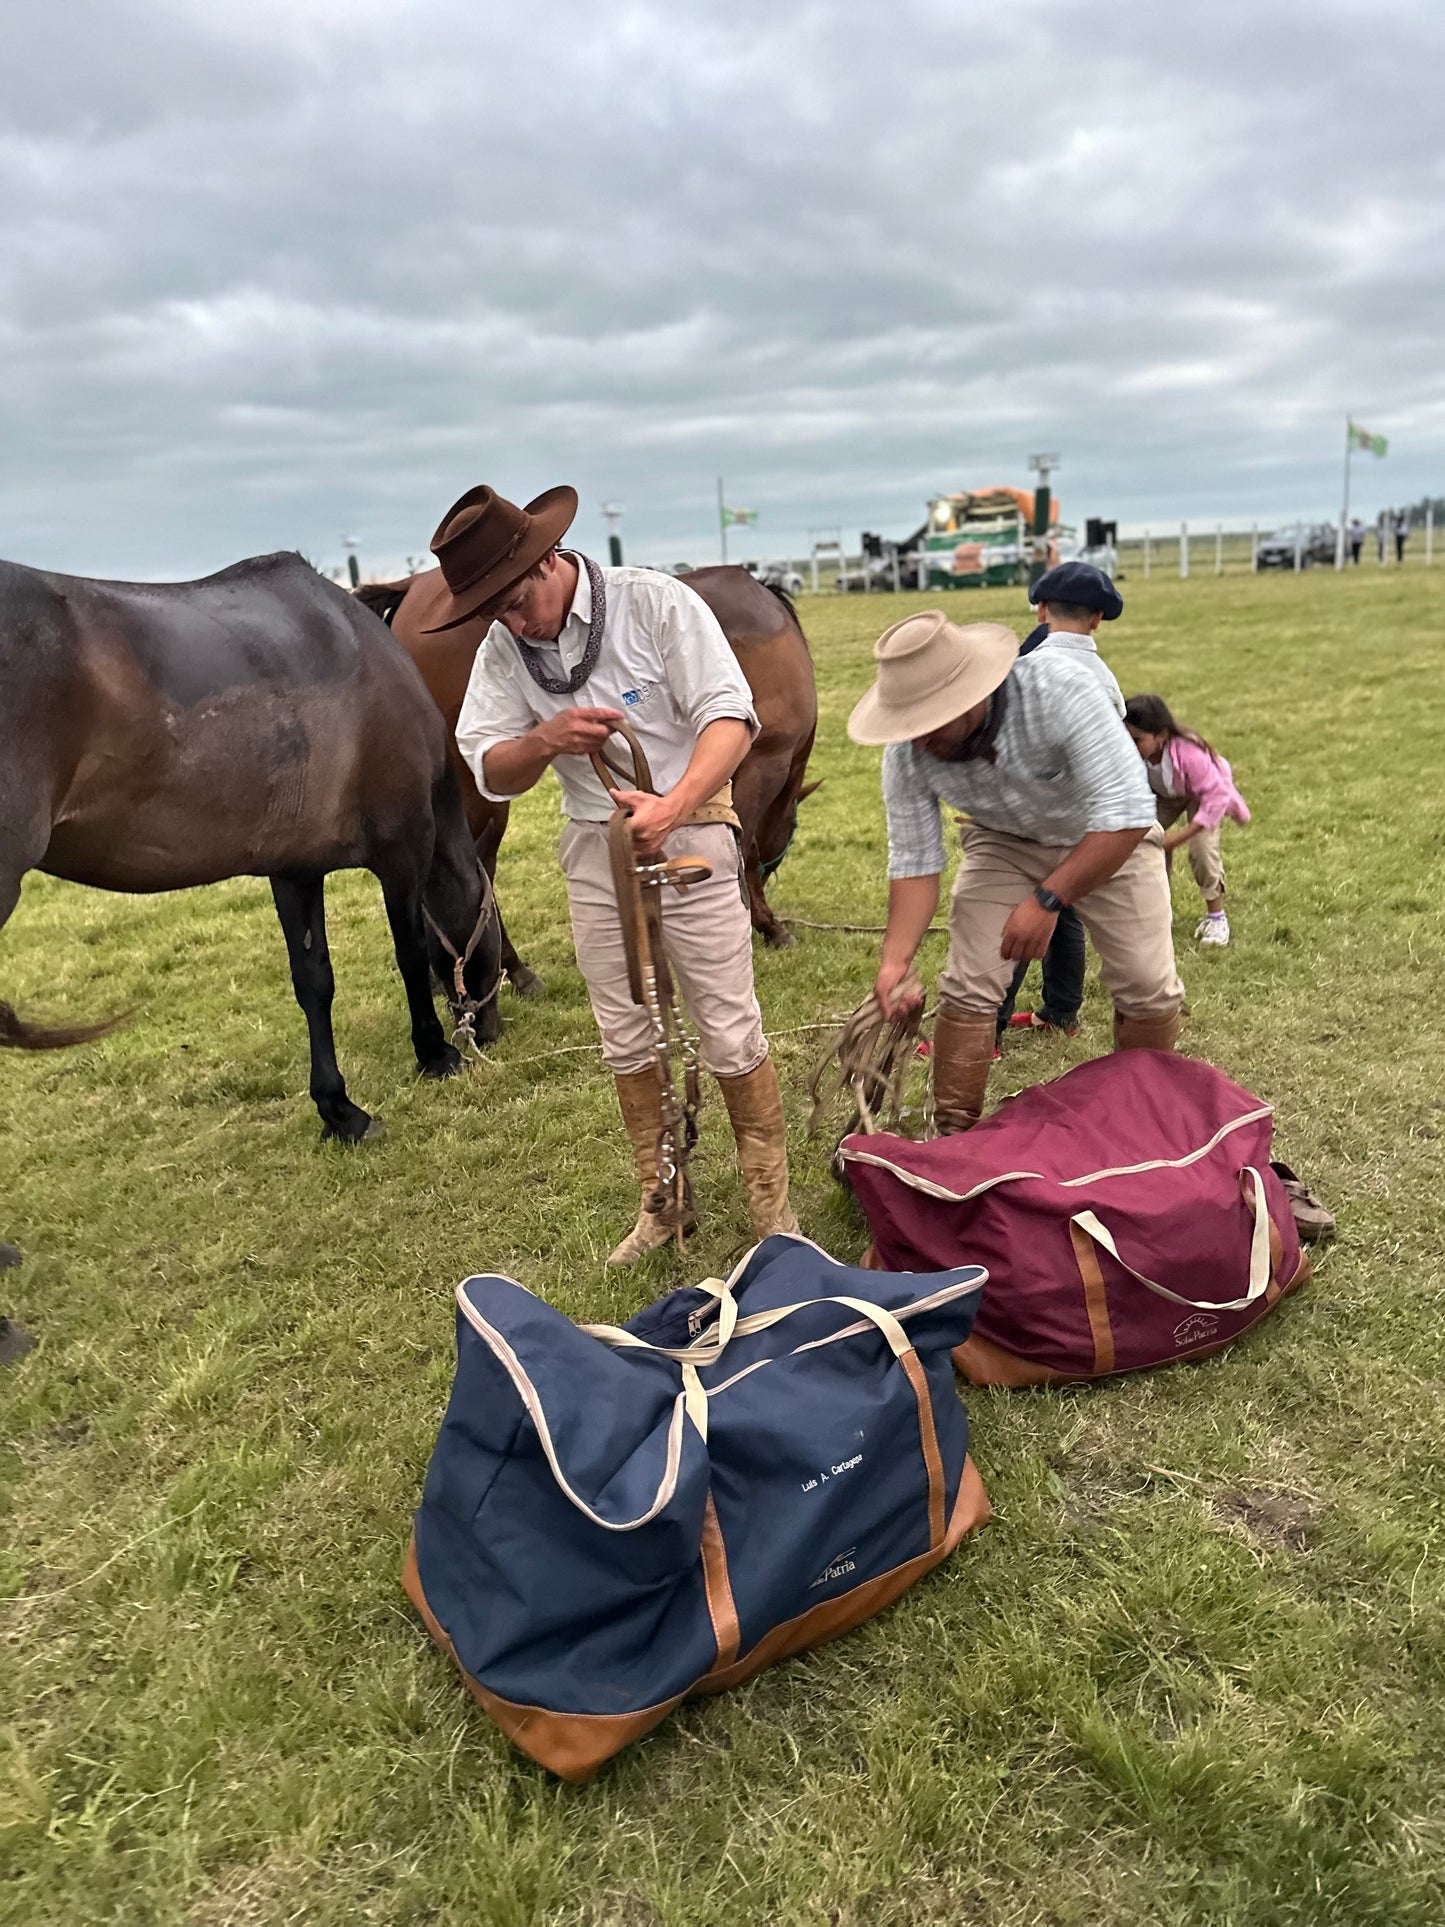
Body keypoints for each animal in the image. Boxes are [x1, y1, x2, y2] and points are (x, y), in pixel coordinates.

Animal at [0, 554, 504, 1156]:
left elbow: (314, 983)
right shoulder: (403, 850)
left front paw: (340, 1110)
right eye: (495, 924)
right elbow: (411, 954)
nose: (490, 1029)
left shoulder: (294, 870)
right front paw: (435, 1054)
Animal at [358, 558, 820, 978]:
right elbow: (746, 849)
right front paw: (767, 925)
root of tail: (412, 588)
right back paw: (511, 970)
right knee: (476, 869)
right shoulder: (764, 765)